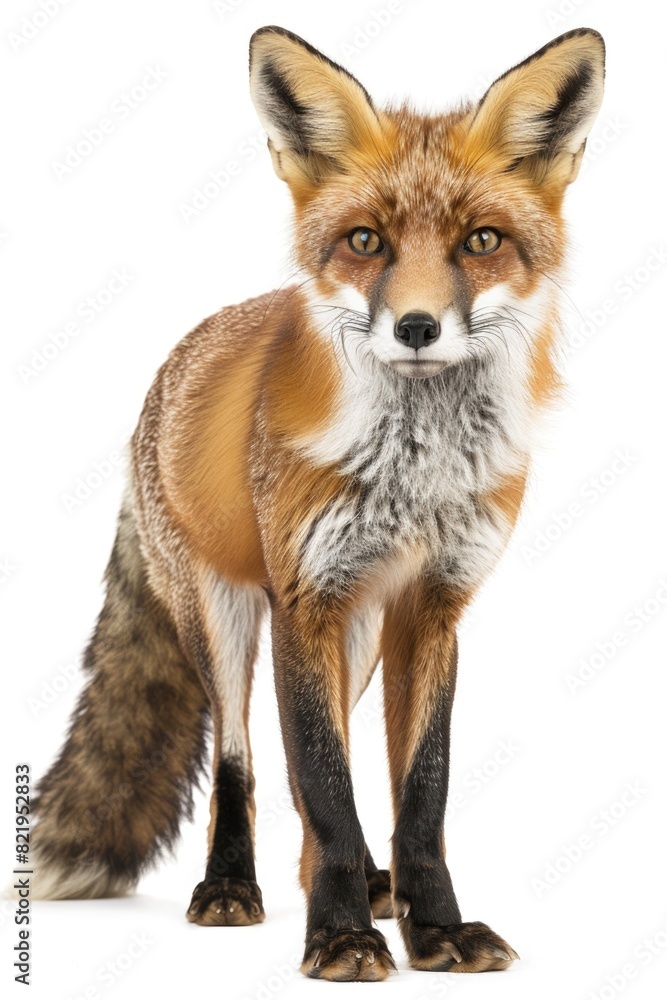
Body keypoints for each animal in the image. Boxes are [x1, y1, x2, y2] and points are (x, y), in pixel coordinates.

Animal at [28, 24, 605, 982]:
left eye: (480, 240)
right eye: (365, 240)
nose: (416, 327)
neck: (415, 473)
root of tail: (171, 366)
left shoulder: (431, 608)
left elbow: (418, 795)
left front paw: (432, 927)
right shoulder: (307, 599)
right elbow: (326, 783)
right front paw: (339, 938)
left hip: (357, 641)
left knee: (307, 788)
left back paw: (359, 886)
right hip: (225, 618)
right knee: (244, 763)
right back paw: (234, 888)